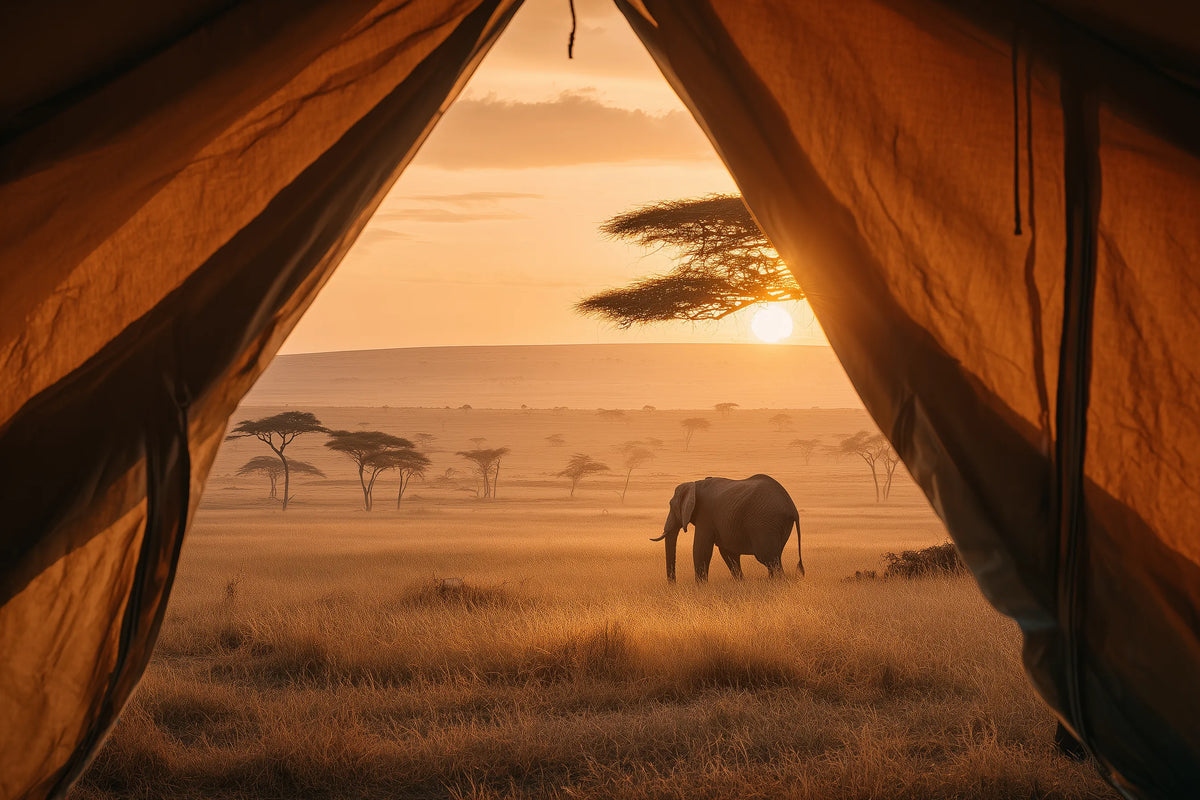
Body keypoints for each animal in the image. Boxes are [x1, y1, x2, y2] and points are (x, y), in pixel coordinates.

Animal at [651, 474, 803, 583]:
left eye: (671, 506)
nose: (673, 584)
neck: (694, 483)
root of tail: (792, 507)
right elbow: (728, 553)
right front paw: (740, 583)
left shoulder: (705, 516)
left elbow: (700, 549)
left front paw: (700, 587)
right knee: (774, 557)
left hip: (765, 522)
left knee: (768, 558)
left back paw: (779, 582)